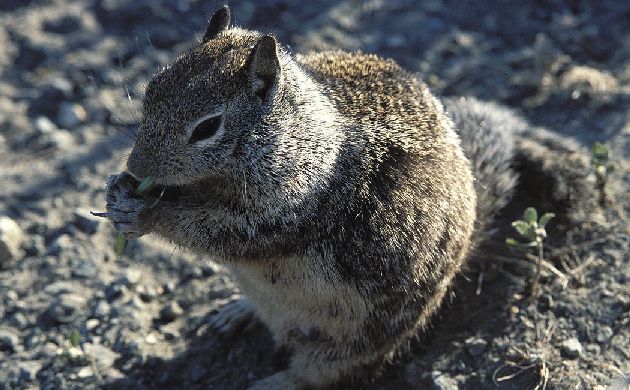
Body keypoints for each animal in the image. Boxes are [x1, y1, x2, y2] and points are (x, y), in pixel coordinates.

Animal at [99, 5, 596, 386]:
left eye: (207, 128)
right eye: (152, 88)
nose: (136, 167)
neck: (300, 136)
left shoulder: (291, 211)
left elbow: (218, 231)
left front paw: (145, 215)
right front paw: (118, 192)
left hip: (356, 342)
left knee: (320, 375)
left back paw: (275, 380)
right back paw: (234, 311)